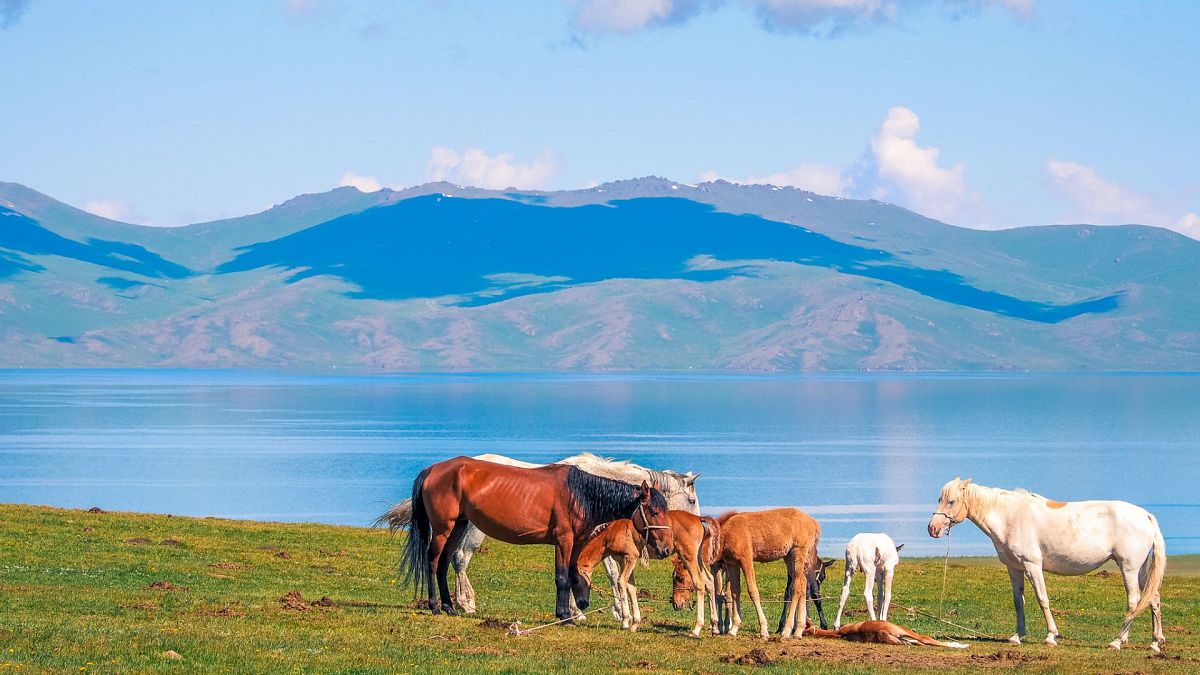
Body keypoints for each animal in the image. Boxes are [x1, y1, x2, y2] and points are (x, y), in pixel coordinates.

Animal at [374, 449, 700, 612]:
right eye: (692, 500)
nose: (669, 547)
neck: (585, 491)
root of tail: (433, 470)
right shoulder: (574, 539)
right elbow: (583, 575)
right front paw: (601, 612)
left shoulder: (581, 540)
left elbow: (577, 573)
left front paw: (580, 610)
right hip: (454, 529)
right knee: (446, 560)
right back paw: (451, 605)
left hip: (460, 526)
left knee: (446, 562)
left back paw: (453, 606)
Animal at [715, 506, 820, 638]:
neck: (728, 531)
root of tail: (813, 522)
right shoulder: (732, 563)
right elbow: (735, 592)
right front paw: (733, 629)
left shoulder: (746, 559)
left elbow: (753, 591)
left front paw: (764, 630)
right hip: (789, 557)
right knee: (803, 583)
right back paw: (798, 630)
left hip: (798, 552)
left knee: (796, 587)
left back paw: (786, 631)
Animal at [926, 475, 1161, 648]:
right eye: (940, 499)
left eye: (951, 501)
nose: (932, 528)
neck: (1009, 517)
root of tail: (1146, 516)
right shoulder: (1014, 568)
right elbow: (1018, 601)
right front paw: (1017, 636)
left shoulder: (1032, 565)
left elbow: (1042, 599)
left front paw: (1051, 636)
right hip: (1140, 571)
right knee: (1153, 598)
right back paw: (1155, 643)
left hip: (1128, 568)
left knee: (1134, 601)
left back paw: (1117, 641)